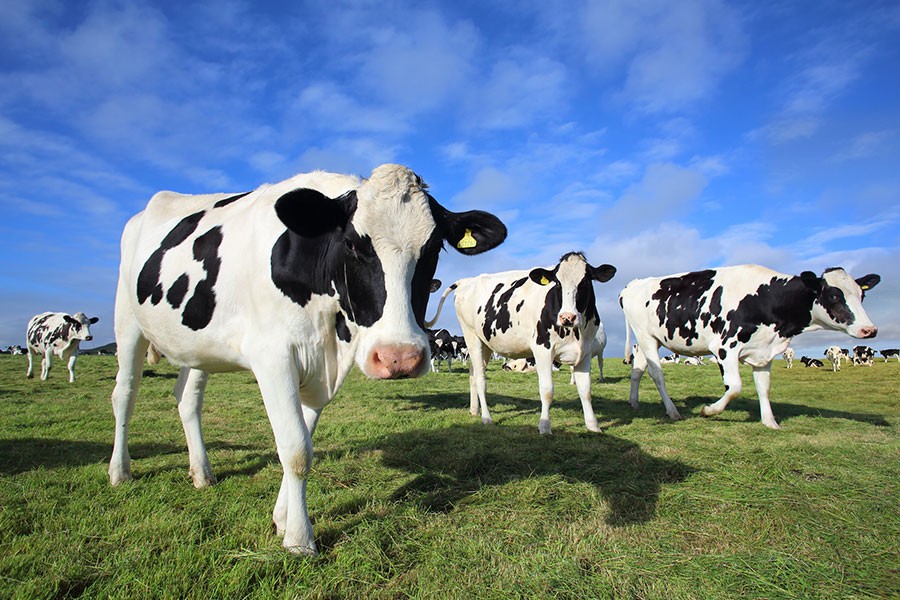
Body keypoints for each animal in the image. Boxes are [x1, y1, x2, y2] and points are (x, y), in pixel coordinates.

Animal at [106, 164, 506, 554]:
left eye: (434, 248)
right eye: (351, 244)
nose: (399, 358)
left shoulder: (319, 368)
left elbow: (304, 439)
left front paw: (282, 518)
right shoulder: (273, 357)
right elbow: (296, 449)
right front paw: (299, 539)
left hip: (196, 345)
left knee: (187, 398)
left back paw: (201, 473)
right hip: (127, 322)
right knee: (124, 393)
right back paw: (120, 471)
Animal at [427, 252, 616, 434]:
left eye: (585, 282)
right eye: (557, 283)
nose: (567, 317)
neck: (575, 333)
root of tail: (467, 281)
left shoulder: (585, 352)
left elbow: (586, 391)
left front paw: (593, 426)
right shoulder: (543, 350)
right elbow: (547, 391)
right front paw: (544, 426)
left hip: (484, 344)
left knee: (473, 374)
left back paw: (474, 410)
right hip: (471, 336)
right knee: (480, 379)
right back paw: (486, 418)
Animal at [620, 265, 879, 429]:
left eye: (862, 296)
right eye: (834, 295)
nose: (870, 330)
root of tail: (632, 284)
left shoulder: (764, 352)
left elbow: (764, 388)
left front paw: (770, 422)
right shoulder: (725, 347)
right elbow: (734, 387)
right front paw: (709, 410)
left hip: (648, 340)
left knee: (638, 369)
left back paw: (634, 402)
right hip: (647, 337)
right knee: (657, 375)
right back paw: (672, 411)